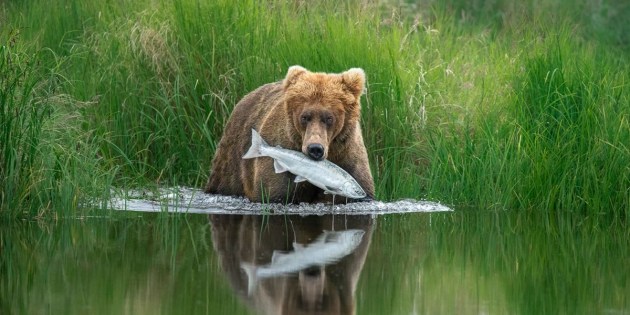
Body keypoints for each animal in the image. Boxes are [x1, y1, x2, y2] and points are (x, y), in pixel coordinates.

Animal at [206, 65, 376, 204]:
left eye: (329, 118)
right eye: (304, 117)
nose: (315, 148)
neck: (331, 152)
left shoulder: (348, 155)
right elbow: (275, 193)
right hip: (232, 158)